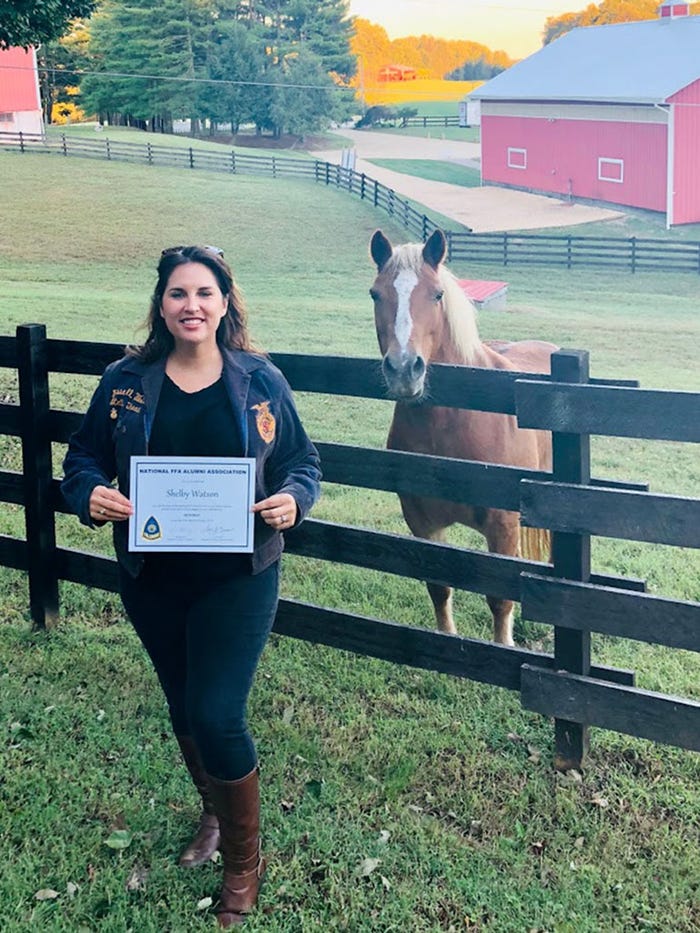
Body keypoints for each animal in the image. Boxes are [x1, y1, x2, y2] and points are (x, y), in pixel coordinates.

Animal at [370, 229, 556, 644]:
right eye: (375, 294)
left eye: (437, 294)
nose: (403, 370)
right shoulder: (421, 521)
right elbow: (439, 587)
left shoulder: (503, 526)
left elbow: (500, 599)